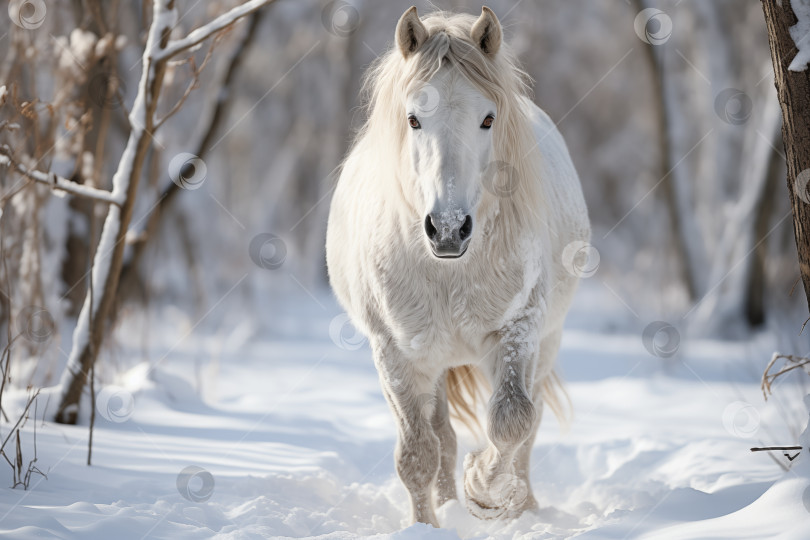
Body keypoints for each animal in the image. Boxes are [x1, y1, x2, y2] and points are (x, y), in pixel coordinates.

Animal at [326, 5, 588, 528]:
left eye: (488, 118)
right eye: (412, 118)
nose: (448, 229)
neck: (447, 270)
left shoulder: (518, 330)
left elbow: (512, 421)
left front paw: (486, 493)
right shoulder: (394, 354)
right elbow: (418, 454)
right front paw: (425, 526)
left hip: (546, 340)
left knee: (531, 424)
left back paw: (522, 504)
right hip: (433, 363)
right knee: (441, 438)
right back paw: (448, 505)